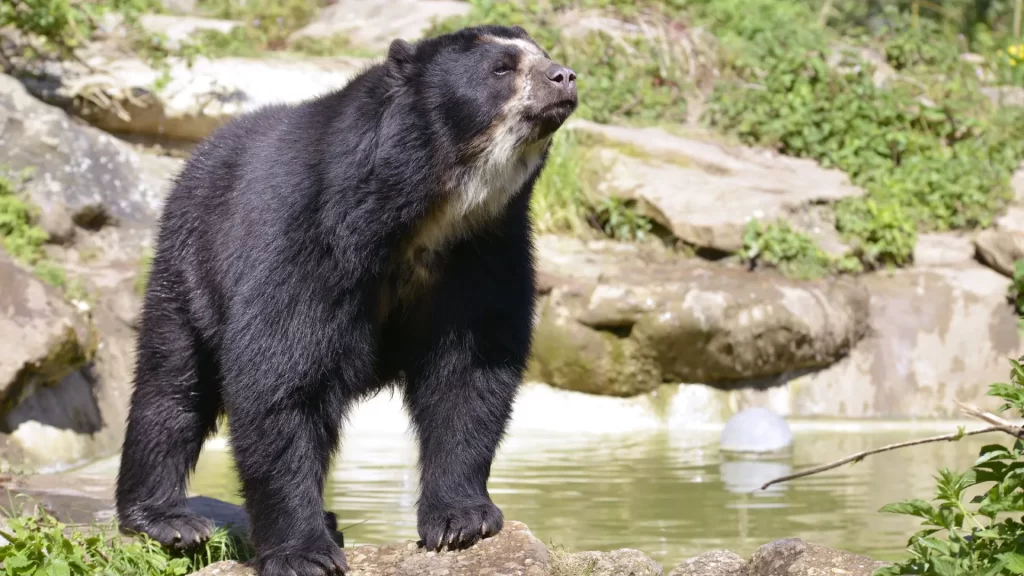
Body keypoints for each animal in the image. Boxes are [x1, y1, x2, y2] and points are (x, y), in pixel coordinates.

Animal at [114, 24, 578, 576]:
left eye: (542, 55)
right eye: (501, 68)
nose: (564, 76)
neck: (429, 206)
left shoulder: (486, 250)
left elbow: (470, 372)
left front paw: (461, 521)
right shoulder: (307, 232)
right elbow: (280, 377)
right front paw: (303, 553)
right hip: (190, 261)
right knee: (173, 384)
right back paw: (167, 518)